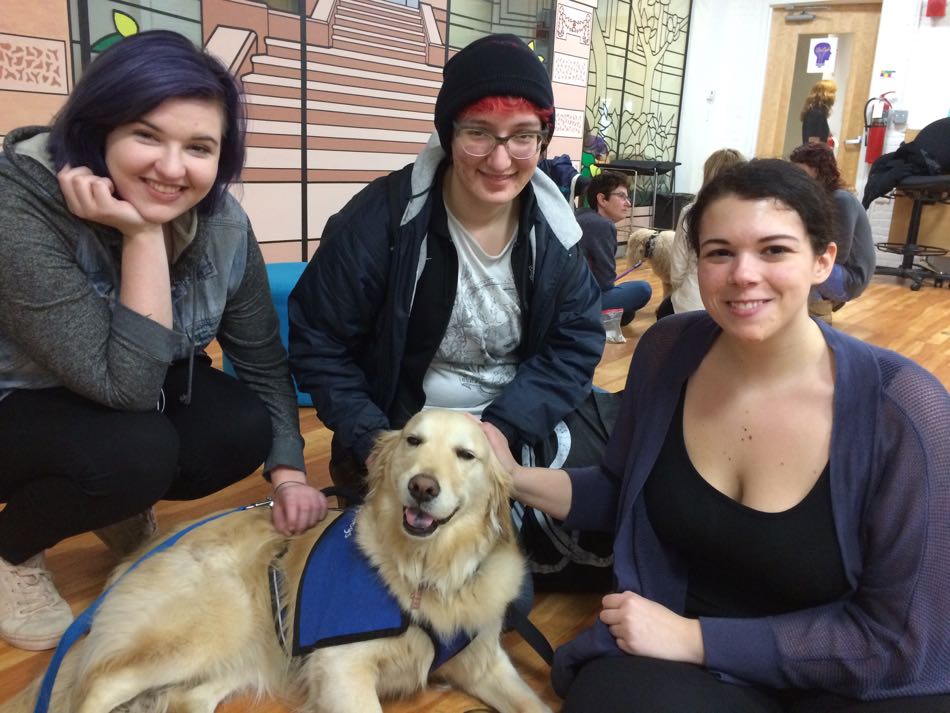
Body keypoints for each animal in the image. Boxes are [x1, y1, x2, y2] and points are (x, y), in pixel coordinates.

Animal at [1, 408, 552, 712]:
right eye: (414, 440)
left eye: (466, 455)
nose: (422, 487)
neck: (423, 571)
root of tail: (137, 557)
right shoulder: (340, 667)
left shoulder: (484, 663)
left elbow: (535, 704)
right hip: (207, 627)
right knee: (97, 689)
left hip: (249, 647)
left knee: (182, 699)